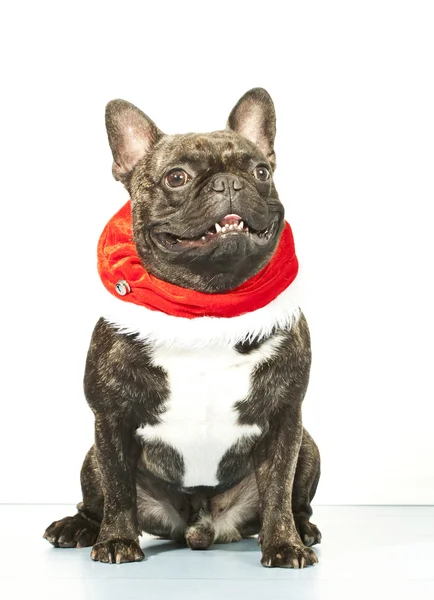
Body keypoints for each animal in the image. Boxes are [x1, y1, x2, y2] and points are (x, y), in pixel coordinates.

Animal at [43, 88, 322, 568]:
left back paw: (304, 530)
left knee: (295, 500)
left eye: (261, 171)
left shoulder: (286, 417)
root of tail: (201, 527)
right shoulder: (110, 420)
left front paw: (284, 544)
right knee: (97, 498)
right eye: (177, 177)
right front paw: (116, 541)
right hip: (90, 458)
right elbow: (118, 490)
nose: (229, 183)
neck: (206, 308)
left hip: (309, 445)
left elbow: (278, 491)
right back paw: (77, 527)